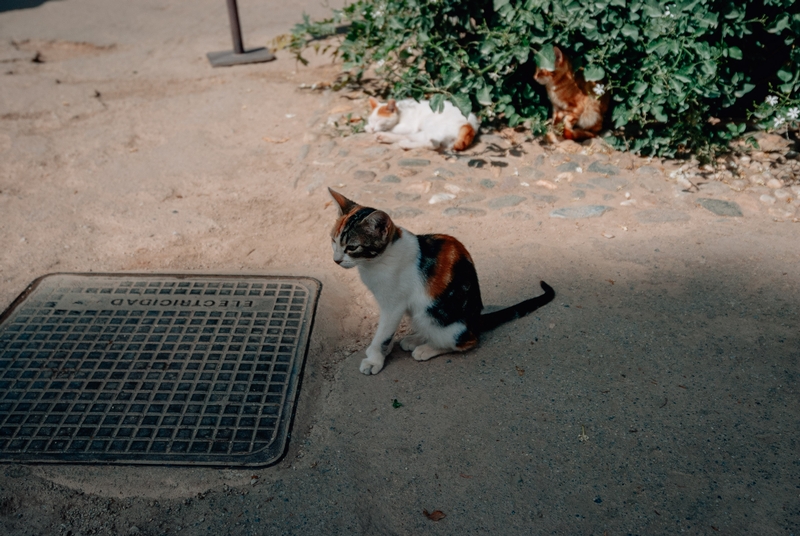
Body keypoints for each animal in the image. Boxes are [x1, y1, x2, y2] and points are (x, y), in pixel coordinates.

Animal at [328, 188, 552, 376]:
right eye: (333, 241)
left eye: (352, 247)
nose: (336, 260)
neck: (376, 261)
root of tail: (476, 320)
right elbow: (386, 331)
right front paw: (384, 350)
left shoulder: (394, 304)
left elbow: (383, 333)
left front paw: (375, 359)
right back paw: (416, 338)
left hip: (435, 316)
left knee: (466, 341)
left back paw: (427, 348)